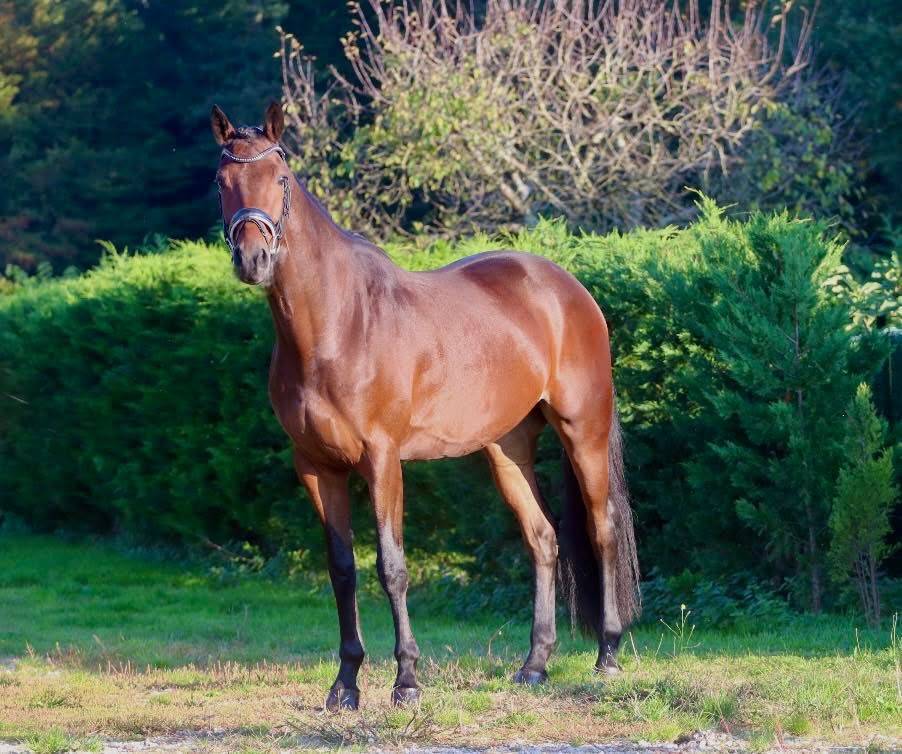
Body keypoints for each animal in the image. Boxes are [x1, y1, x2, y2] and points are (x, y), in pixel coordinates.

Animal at [211, 102, 640, 711]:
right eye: (222, 182)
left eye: (281, 178)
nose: (254, 257)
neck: (336, 323)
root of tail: (567, 289)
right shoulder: (316, 467)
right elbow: (342, 569)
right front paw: (345, 684)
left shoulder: (382, 459)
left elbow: (392, 567)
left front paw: (407, 680)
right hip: (506, 448)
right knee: (543, 538)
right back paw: (534, 665)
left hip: (585, 430)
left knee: (602, 529)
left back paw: (607, 654)